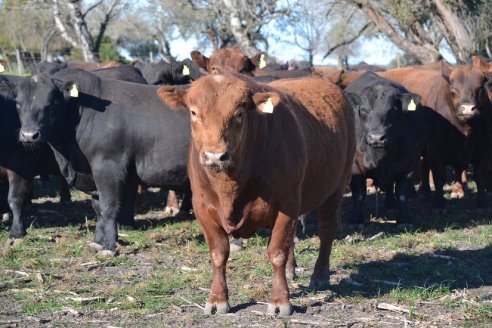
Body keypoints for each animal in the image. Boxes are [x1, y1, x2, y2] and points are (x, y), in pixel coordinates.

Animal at [15, 69, 192, 254]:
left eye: (50, 104)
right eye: (18, 104)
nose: (29, 135)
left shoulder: (108, 167)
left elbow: (109, 207)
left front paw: (109, 246)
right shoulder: (93, 175)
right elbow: (98, 208)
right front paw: (97, 241)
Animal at [160, 73, 356, 316]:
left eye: (239, 113)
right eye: (194, 112)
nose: (215, 156)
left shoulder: (287, 203)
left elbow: (277, 252)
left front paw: (280, 301)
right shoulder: (201, 207)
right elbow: (218, 253)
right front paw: (217, 299)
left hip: (336, 187)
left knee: (326, 231)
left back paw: (320, 275)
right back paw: (292, 270)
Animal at [346, 72, 426, 223]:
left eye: (393, 110)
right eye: (363, 110)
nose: (376, 137)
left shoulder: (409, 164)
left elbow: (401, 194)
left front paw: (403, 219)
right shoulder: (355, 166)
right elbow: (359, 194)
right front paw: (355, 220)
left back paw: (390, 205)